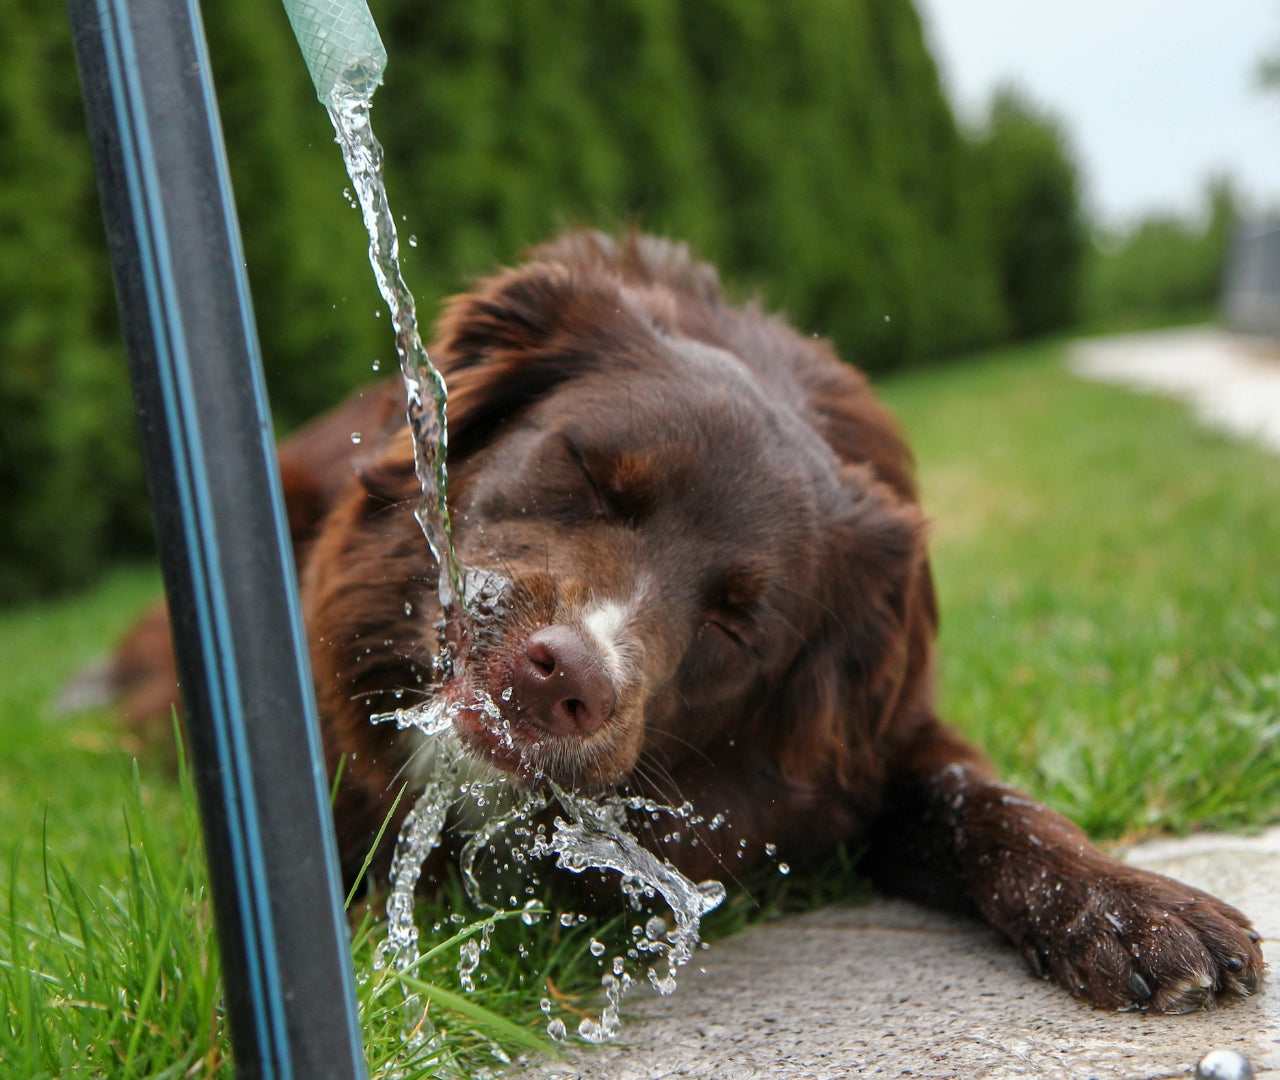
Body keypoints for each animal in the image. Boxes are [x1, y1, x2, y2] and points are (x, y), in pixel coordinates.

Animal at [107, 230, 1259, 1013]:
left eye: (737, 625)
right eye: (584, 472)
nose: (563, 679)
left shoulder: (875, 743)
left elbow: (986, 800)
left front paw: (1132, 906)